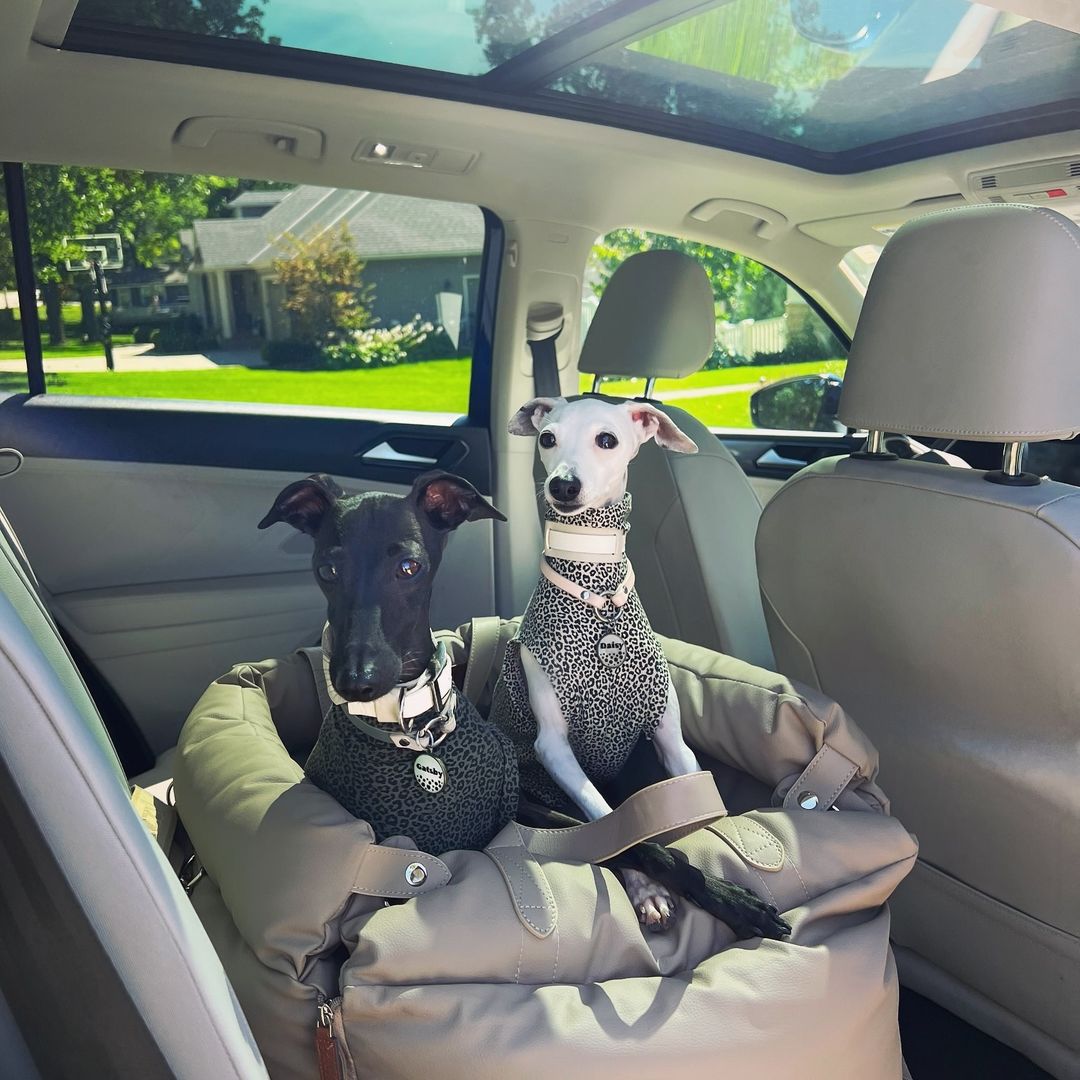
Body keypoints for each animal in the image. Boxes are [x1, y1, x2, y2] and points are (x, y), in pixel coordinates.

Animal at [259, 468, 788, 940]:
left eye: (409, 568)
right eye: (328, 570)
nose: (356, 682)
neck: (413, 731)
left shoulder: (526, 808)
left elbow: (636, 844)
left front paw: (731, 898)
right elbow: (617, 840)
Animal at [492, 395, 749, 931]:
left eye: (606, 440)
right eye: (547, 438)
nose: (563, 485)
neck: (597, 593)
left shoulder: (671, 740)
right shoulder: (554, 749)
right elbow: (615, 827)